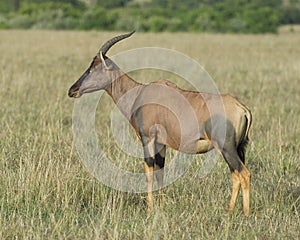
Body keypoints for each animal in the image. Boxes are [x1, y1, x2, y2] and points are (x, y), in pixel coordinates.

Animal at [67, 31, 252, 216]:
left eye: (93, 67)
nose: (72, 90)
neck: (139, 92)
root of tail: (242, 108)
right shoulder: (161, 143)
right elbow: (159, 171)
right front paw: (161, 204)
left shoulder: (147, 139)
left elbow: (149, 170)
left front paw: (149, 208)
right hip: (239, 148)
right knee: (236, 175)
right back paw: (230, 210)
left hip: (226, 148)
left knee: (244, 174)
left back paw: (245, 213)